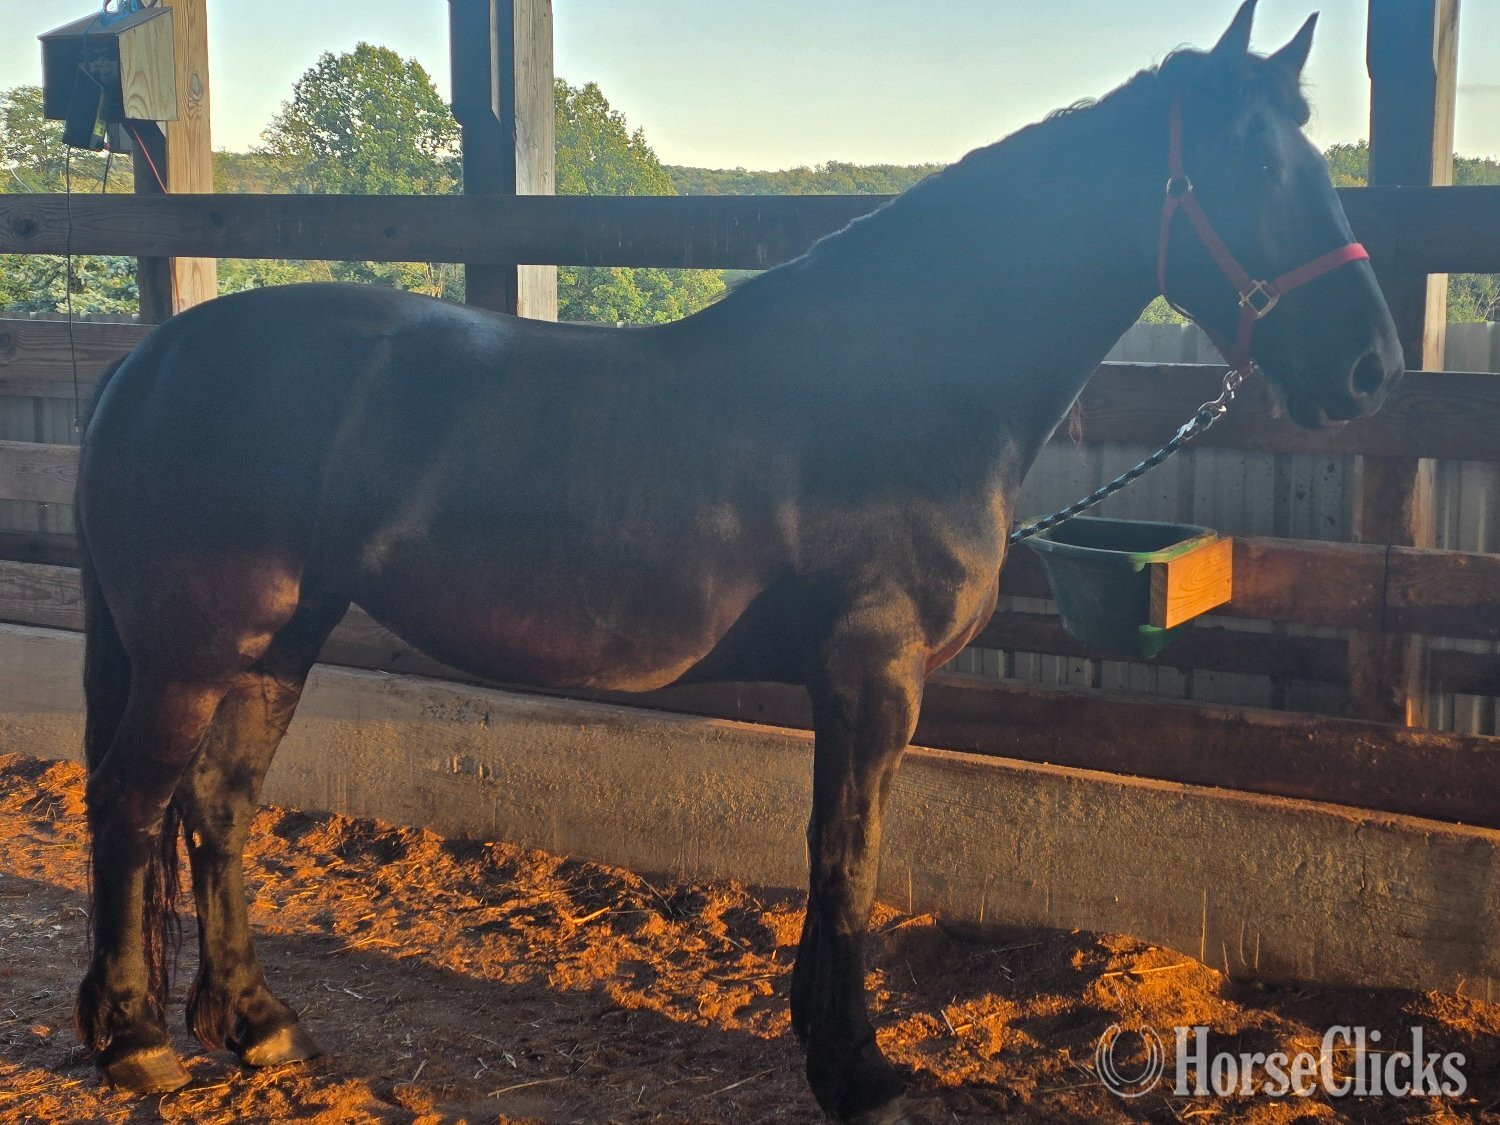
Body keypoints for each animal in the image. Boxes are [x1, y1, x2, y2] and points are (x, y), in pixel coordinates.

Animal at [71, 3, 1401, 1120]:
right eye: (1259, 170)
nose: (1371, 370)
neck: (904, 378)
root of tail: (150, 360)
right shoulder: (874, 676)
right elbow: (851, 861)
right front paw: (856, 1068)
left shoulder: (844, 684)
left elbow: (830, 854)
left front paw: (820, 1037)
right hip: (196, 649)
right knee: (133, 801)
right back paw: (132, 1038)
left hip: (276, 641)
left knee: (217, 804)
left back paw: (252, 1023)